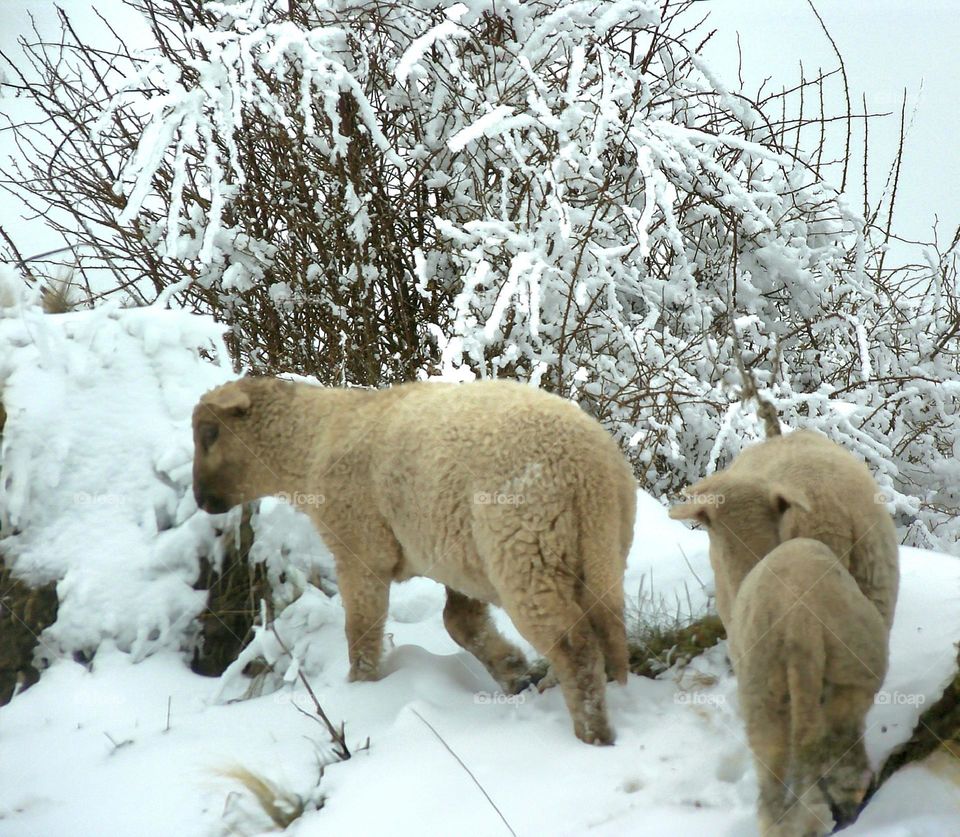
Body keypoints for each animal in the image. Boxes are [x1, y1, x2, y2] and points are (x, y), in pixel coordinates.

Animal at [192, 376, 636, 740]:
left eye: (210, 433)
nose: (200, 499)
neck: (311, 443)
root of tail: (589, 472)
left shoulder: (361, 548)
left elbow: (362, 632)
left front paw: (361, 689)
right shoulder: (456, 555)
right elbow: (461, 623)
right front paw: (514, 671)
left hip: (525, 547)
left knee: (575, 645)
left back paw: (592, 732)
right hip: (597, 548)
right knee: (597, 628)